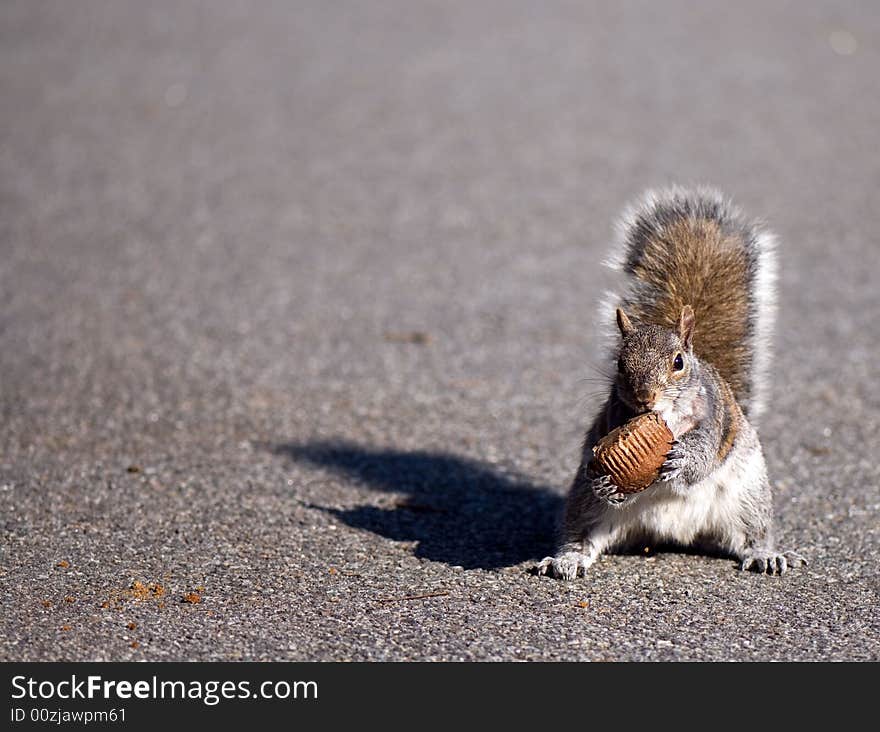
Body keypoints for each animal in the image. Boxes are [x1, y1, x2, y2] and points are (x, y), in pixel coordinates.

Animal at [532, 186, 808, 580]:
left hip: (748, 494)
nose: (644, 397)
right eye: (620, 363)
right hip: (584, 502)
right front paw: (607, 482)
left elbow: (704, 451)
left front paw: (683, 458)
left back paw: (766, 554)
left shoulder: (714, 419)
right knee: (582, 533)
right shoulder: (613, 420)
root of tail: (668, 532)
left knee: (751, 534)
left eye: (678, 363)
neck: (665, 415)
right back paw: (567, 559)